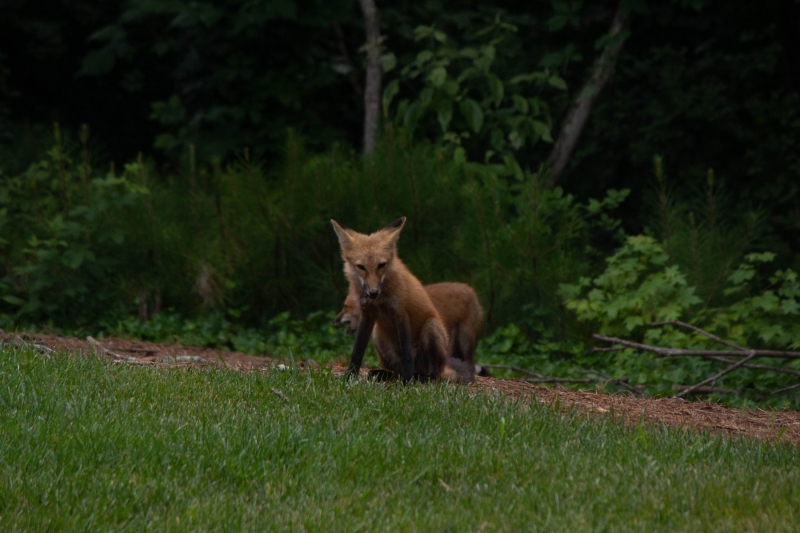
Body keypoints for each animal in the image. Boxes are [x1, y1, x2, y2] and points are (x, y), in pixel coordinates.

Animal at [331, 216, 473, 384]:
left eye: (381, 265)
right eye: (361, 267)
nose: (373, 293)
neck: (380, 300)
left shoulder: (401, 312)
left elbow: (406, 354)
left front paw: (407, 382)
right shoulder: (367, 315)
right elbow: (357, 351)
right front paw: (350, 376)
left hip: (431, 328)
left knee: (433, 374)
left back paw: (419, 377)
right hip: (378, 335)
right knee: (396, 370)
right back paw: (387, 375)